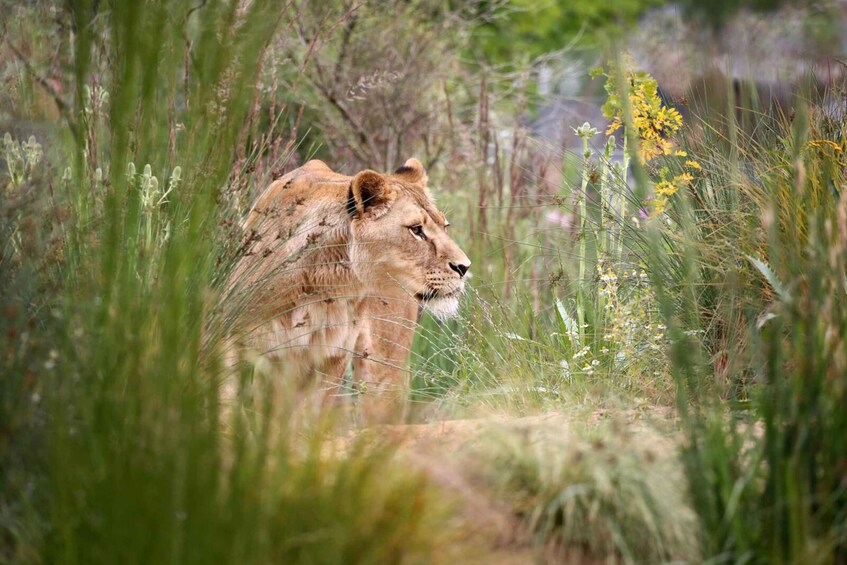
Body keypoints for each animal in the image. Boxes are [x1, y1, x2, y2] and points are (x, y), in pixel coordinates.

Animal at [227, 158, 470, 422]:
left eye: (445, 226)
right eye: (416, 230)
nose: (464, 267)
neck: (324, 282)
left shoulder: (331, 358)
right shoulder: (239, 342)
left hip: (383, 369)